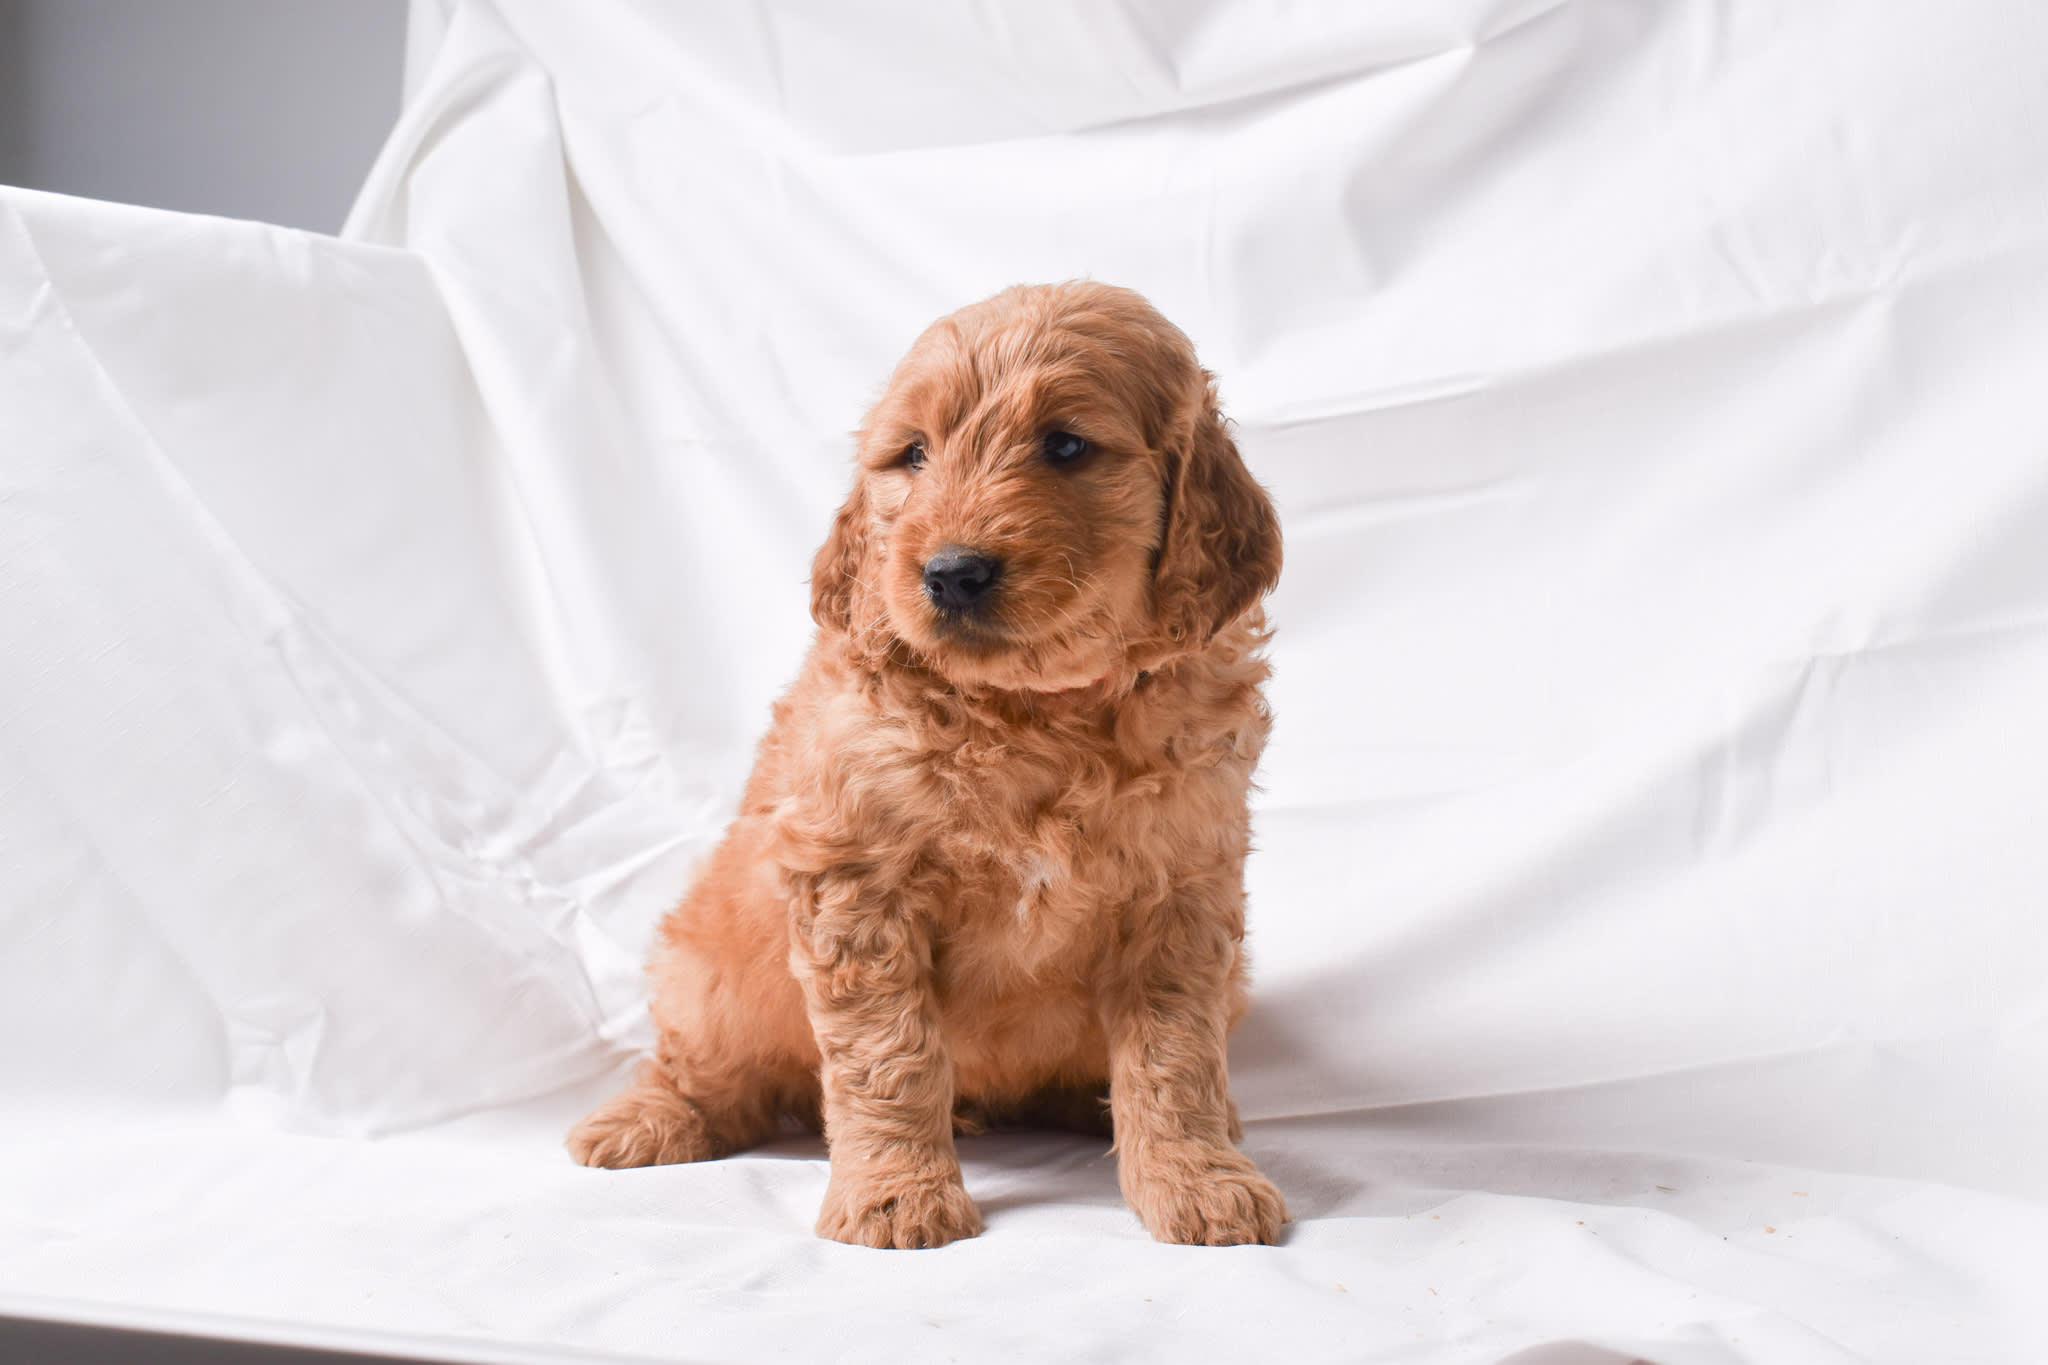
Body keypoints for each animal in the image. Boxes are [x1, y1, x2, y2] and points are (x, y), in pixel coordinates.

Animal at [569, 280, 1286, 1252]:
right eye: (913, 453)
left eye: (1066, 444)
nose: (951, 572)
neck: (1038, 711)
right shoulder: (857, 885)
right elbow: (888, 1057)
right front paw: (894, 1198)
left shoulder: (1181, 888)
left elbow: (1174, 1057)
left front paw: (1199, 1179)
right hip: (710, 971)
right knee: (705, 1066)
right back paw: (645, 1120)